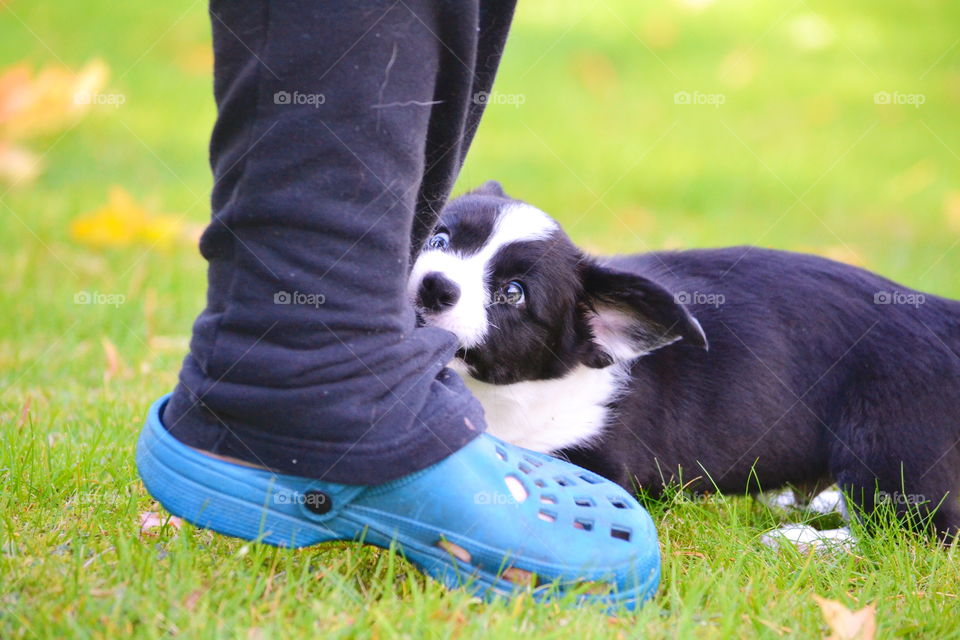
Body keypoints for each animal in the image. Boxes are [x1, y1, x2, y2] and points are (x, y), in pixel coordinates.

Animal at [408, 181, 960, 540]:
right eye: (438, 239)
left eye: (513, 293)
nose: (433, 285)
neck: (504, 394)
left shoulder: (601, 464)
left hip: (890, 452)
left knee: (910, 533)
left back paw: (801, 540)